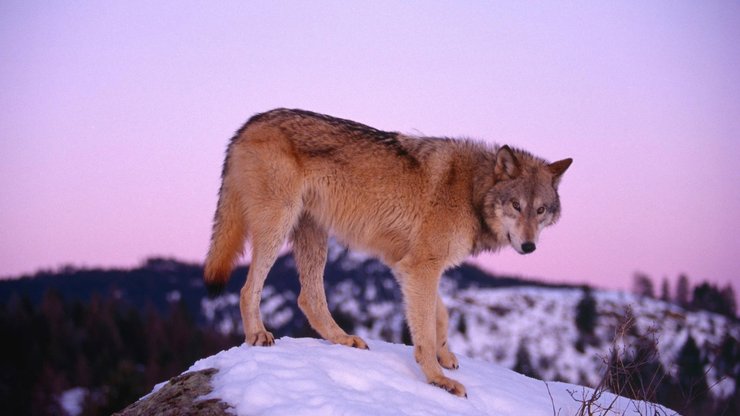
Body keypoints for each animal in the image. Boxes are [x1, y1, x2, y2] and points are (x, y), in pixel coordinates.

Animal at [202, 108, 572, 396]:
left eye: (540, 210)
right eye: (516, 205)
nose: (529, 246)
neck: (472, 190)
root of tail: (249, 123)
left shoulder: (409, 266)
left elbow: (440, 315)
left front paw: (444, 356)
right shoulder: (421, 267)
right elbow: (425, 330)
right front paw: (437, 379)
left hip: (313, 235)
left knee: (308, 298)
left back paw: (343, 339)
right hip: (278, 226)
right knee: (248, 288)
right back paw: (258, 335)